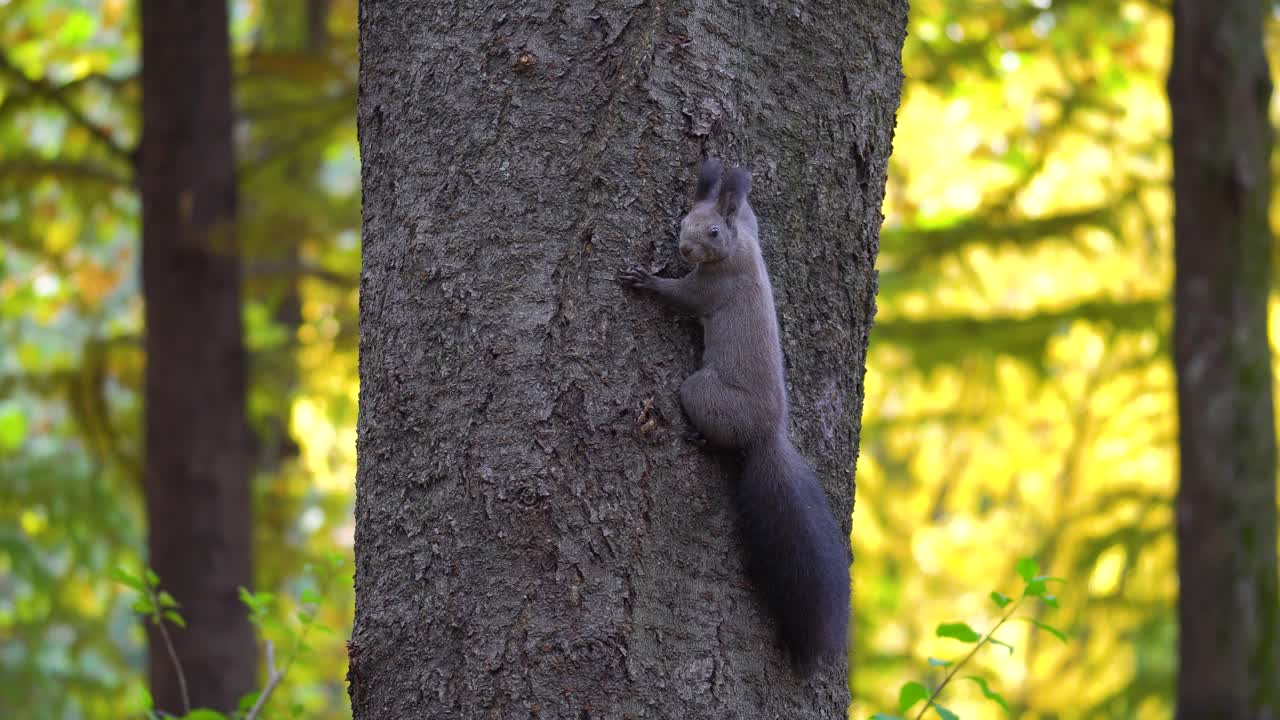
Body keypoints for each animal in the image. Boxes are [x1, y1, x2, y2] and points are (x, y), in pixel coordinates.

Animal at [618, 158, 850, 672]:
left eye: (712, 231)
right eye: (683, 221)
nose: (684, 249)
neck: (739, 248)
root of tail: (769, 434)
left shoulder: (712, 285)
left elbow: (682, 297)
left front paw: (646, 281)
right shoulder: (750, 228)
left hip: (702, 391)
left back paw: (702, 440)